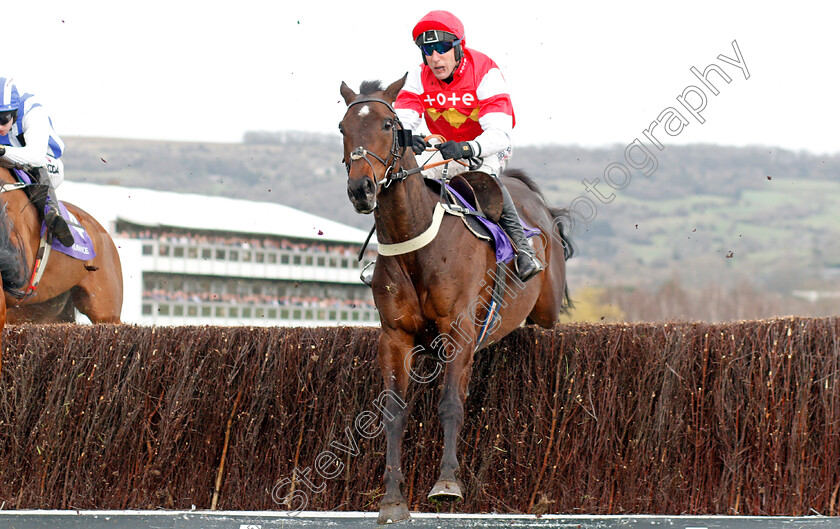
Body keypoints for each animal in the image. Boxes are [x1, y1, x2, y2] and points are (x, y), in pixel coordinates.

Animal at [338, 76, 576, 520]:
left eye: (387, 125)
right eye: (343, 128)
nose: (361, 189)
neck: (415, 242)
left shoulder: (459, 328)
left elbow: (449, 402)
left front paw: (447, 482)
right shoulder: (394, 336)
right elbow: (394, 413)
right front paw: (392, 499)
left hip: (546, 310)